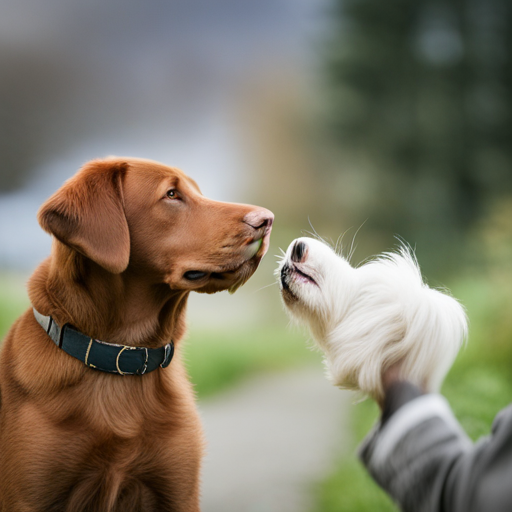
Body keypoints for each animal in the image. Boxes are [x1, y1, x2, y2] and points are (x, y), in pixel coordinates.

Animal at [0, 157, 272, 512]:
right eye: (171, 194)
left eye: (198, 191)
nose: (267, 220)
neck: (124, 355)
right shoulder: (29, 496)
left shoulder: (178, 491)